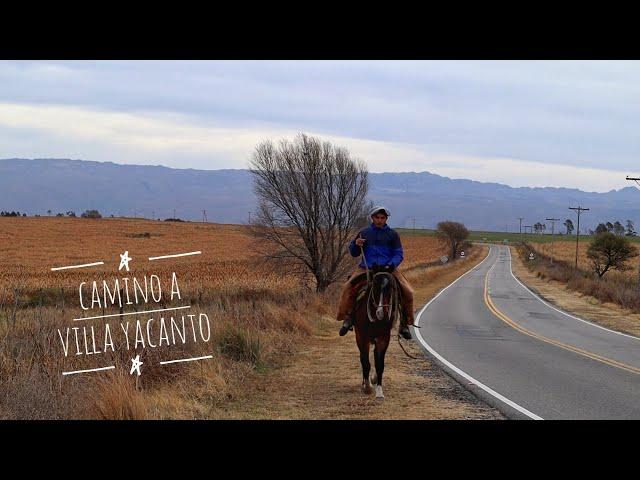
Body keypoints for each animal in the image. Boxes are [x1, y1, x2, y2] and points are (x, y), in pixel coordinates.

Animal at [350, 268, 400, 400]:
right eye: (376, 287)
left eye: (391, 288)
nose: (381, 313)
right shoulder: (362, 338)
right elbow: (366, 362)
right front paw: (367, 387)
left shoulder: (383, 339)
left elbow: (379, 365)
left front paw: (379, 391)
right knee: (363, 359)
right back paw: (365, 383)